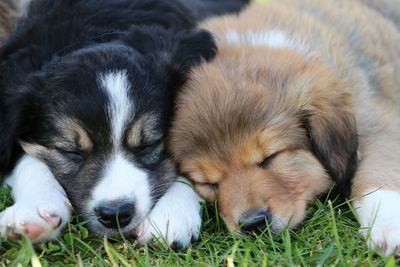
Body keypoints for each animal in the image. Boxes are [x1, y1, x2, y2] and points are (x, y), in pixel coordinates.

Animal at [0, 0, 247, 248]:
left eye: (149, 145)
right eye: (70, 152)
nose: (115, 214)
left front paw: (172, 213)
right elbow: (26, 159)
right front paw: (35, 210)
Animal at [170, 0, 400, 256]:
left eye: (269, 158)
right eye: (209, 183)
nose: (253, 224)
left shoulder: (376, 119)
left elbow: (378, 170)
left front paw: (388, 225)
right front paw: (171, 214)